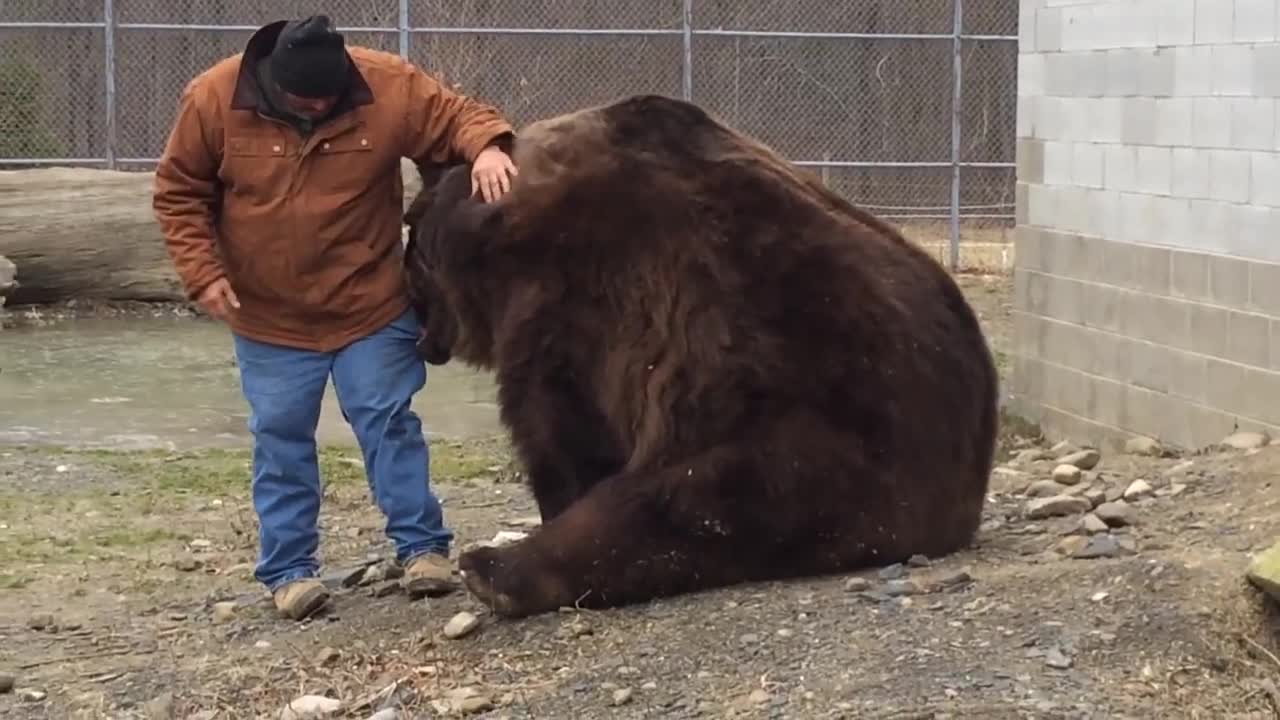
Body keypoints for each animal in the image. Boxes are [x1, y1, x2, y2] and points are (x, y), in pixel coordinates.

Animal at [399, 90, 998, 617]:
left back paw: (493, 570)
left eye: (412, 269)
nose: (416, 334)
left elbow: (560, 431)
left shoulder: (571, 305)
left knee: (674, 504)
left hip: (810, 422)